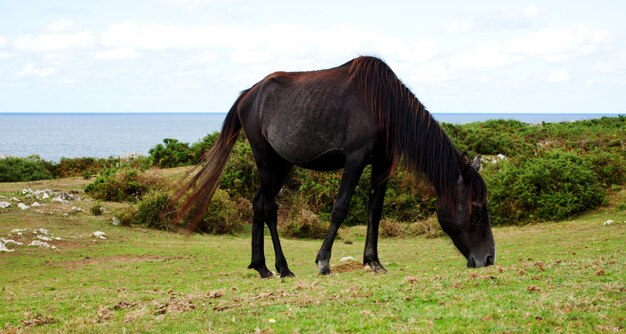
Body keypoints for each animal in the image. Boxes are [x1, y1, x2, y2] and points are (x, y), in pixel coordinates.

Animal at [171, 56, 492, 276]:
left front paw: (373, 261)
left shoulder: (382, 163)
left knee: (259, 204)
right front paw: (323, 261)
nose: (489, 258)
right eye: (475, 207)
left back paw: (263, 267)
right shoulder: (356, 159)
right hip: (265, 159)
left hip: (281, 164)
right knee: (268, 207)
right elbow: (340, 208)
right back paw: (280, 268)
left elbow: (374, 211)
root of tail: (248, 94)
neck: (383, 104)